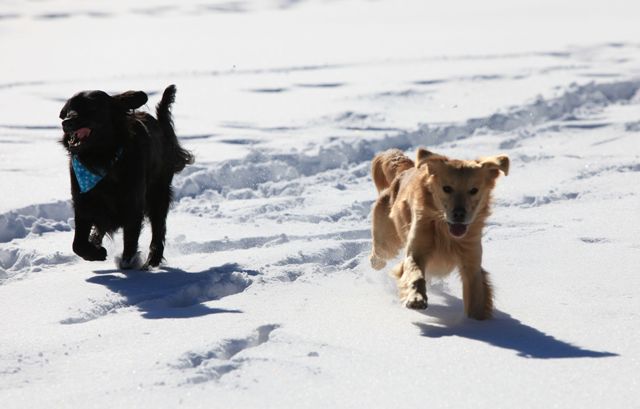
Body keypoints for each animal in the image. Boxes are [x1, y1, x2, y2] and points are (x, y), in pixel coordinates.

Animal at [61, 83, 194, 268]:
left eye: (91, 107)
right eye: (69, 108)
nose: (66, 122)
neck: (101, 160)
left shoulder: (133, 203)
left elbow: (131, 238)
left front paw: (128, 264)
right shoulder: (83, 201)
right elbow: (78, 244)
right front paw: (96, 253)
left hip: (158, 192)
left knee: (158, 228)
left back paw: (153, 259)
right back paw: (96, 240)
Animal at [370, 147, 510, 318]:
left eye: (474, 190)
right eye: (447, 188)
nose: (459, 214)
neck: (445, 233)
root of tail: (405, 171)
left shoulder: (471, 263)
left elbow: (475, 297)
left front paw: (476, 322)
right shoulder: (416, 251)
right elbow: (415, 275)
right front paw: (416, 298)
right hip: (387, 242)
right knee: (380, 253)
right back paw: (376, 262)